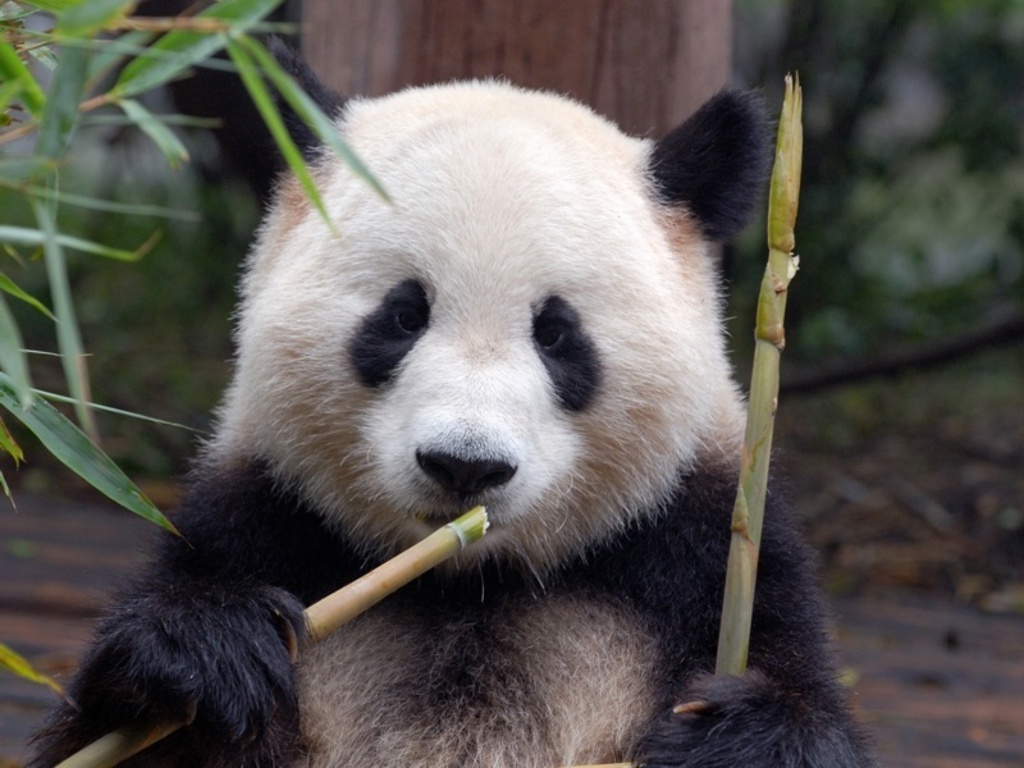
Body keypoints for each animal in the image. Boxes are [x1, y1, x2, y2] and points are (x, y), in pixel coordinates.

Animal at [31, 44, 873, 768]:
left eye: (557, 333)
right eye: (403, 316)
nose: (464, 466)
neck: (470, 586)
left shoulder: (697, 559)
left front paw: (736, 737)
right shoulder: (268, 523)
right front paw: (205, 653)